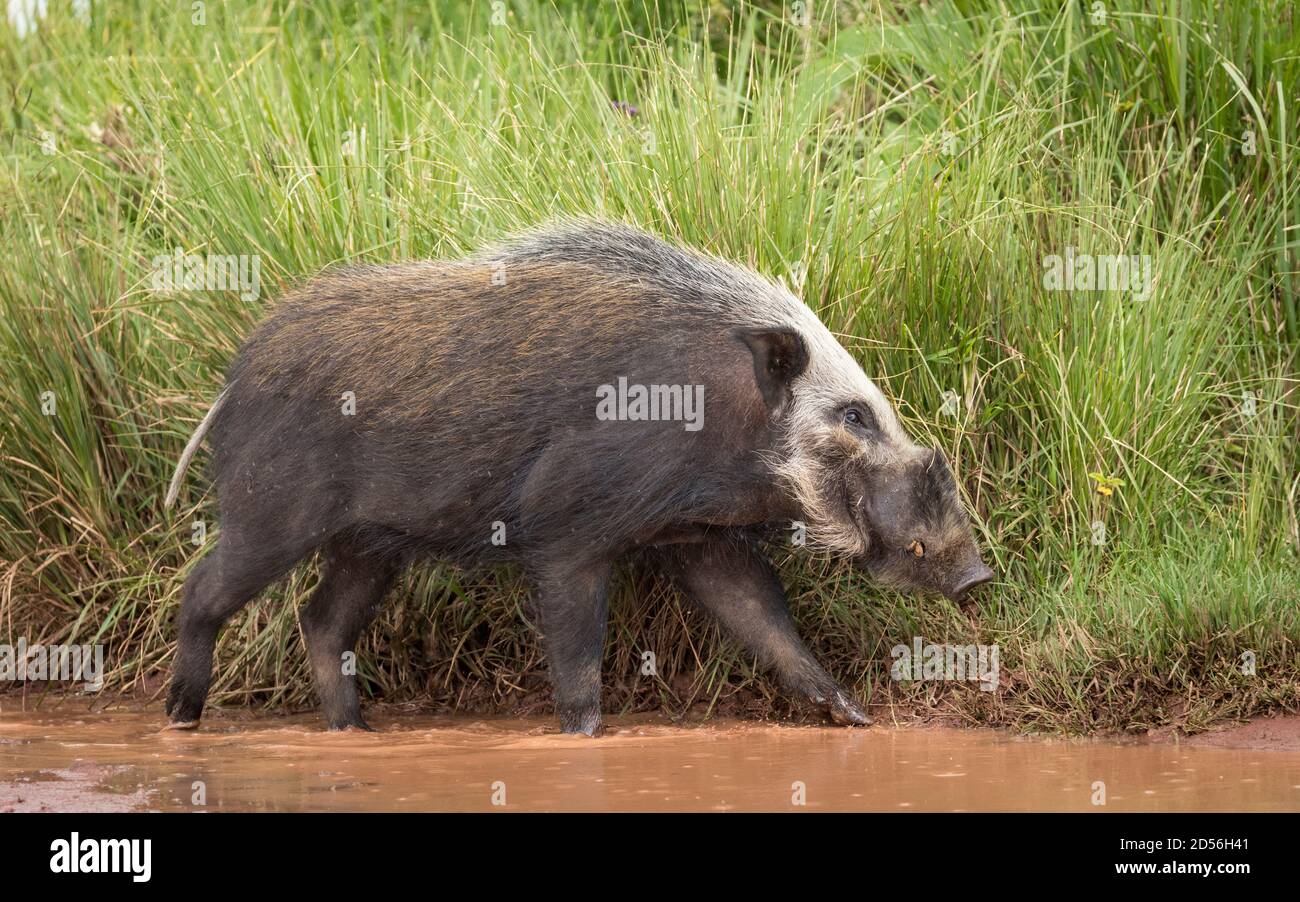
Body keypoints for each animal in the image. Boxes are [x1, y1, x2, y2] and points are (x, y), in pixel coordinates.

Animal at [163, 220, 994, 735]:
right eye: (854, 417)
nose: (978, 574)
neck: (722, 417)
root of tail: (232, 380)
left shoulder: (699, 538)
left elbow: (768, 625)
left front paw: (856, 719)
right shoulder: (566, 528)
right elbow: (577, 657)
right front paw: (586, 736)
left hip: (369, 543)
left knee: (323, 620)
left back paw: (356, 731)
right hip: (271, 510)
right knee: (203, 592)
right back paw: (180, 719)